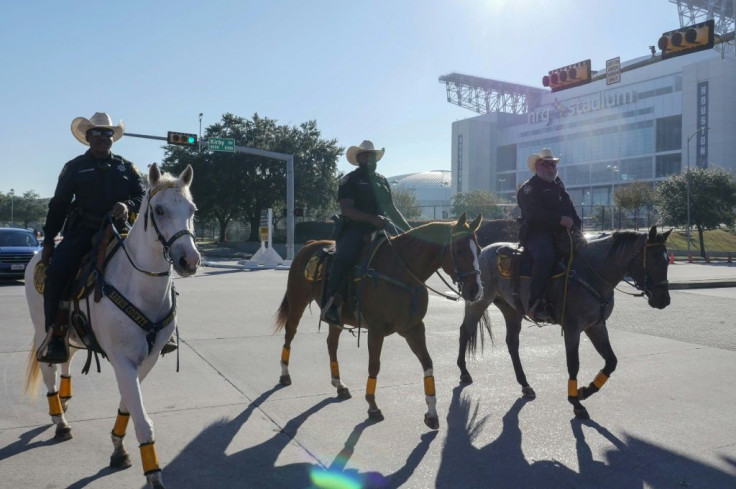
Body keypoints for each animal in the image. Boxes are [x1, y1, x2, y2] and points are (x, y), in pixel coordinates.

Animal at [24, 162, 200, 486]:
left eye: (192, 209)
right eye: (159, 210)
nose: (189, 260)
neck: (139, 285)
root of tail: (39, 255)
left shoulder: (147, 359)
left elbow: (128, 404)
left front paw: (118, 447)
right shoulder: (122, 358)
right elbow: (142, 419)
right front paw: (153, 473)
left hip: (71, 333)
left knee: (67, 357)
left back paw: (65, 399)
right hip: (43, 327)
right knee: (49, 370)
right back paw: (60, 420)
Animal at [274, 213, 484, 428]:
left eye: (479, 250)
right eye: (459, 250)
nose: (476, 291)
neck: (403, 272)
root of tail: (309, 245)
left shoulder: (414, 329)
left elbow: (428, 364)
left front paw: (432, 413)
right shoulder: (376, 330)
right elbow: (374, 365)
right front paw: (372, 406)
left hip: (336, 318)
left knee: (331, 343)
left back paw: (339, 384)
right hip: (297, 302)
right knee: (290, 334)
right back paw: (284, 374)